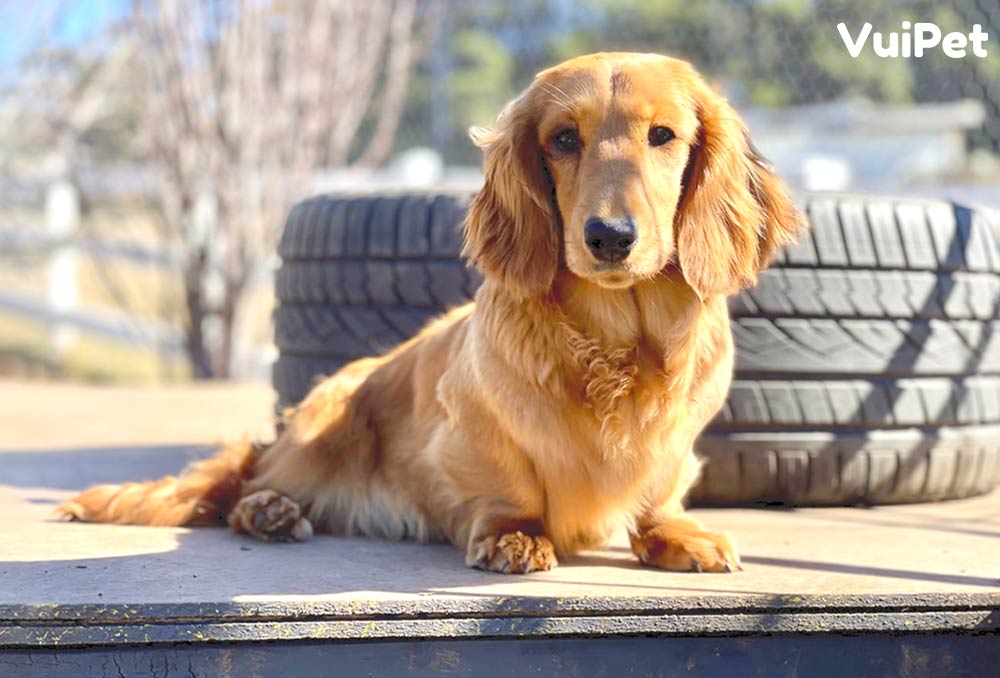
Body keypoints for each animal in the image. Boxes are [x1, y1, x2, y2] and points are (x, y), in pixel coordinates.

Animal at [61, 52, 802, 574]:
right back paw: (271, 510)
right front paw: (514, 535)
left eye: (664, 135)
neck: (617, 338)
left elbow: (660, 488)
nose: (609, 237)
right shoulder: (472, 431)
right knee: (248, 485)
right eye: (564, 139)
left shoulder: (678, 439)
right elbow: (511, 485)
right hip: (322, 426)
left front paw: (673, 533)